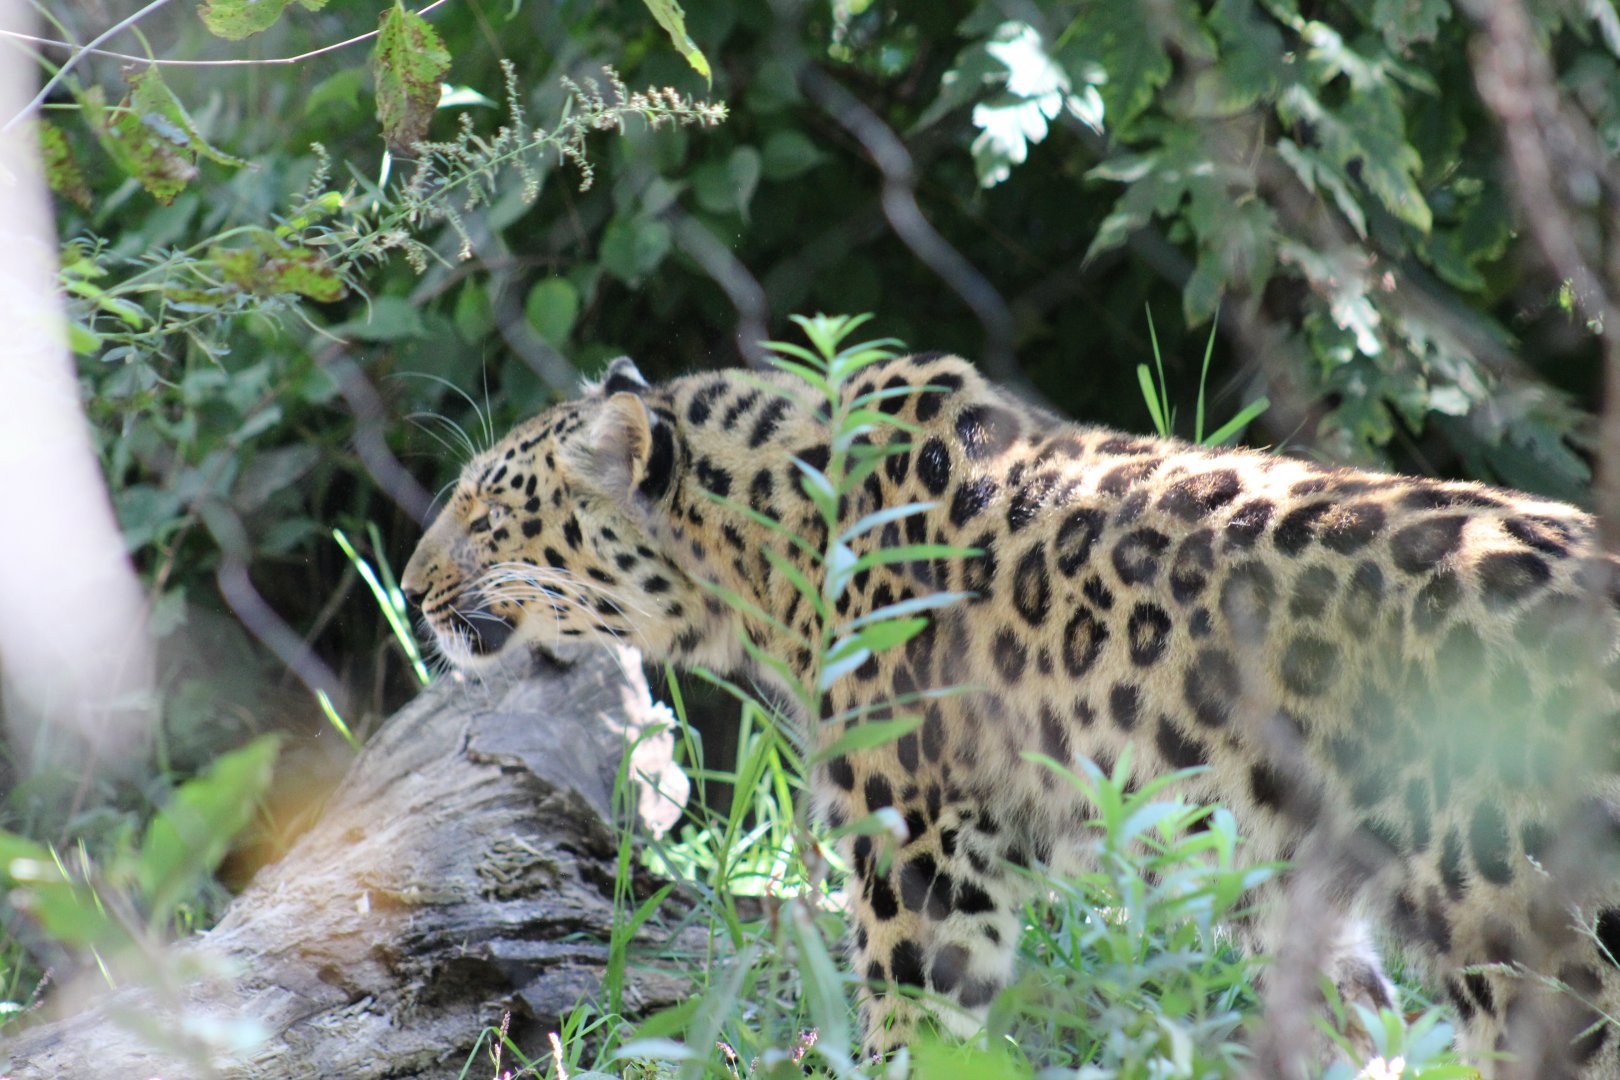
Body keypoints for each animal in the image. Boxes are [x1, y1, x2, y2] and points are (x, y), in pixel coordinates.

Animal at [401, 352, 1620, 1077]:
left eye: (484, 511)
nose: (409, 588)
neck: (767, 565)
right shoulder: (1271, 884)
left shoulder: (923, 861)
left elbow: (912, 1029)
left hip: (1532, 939)